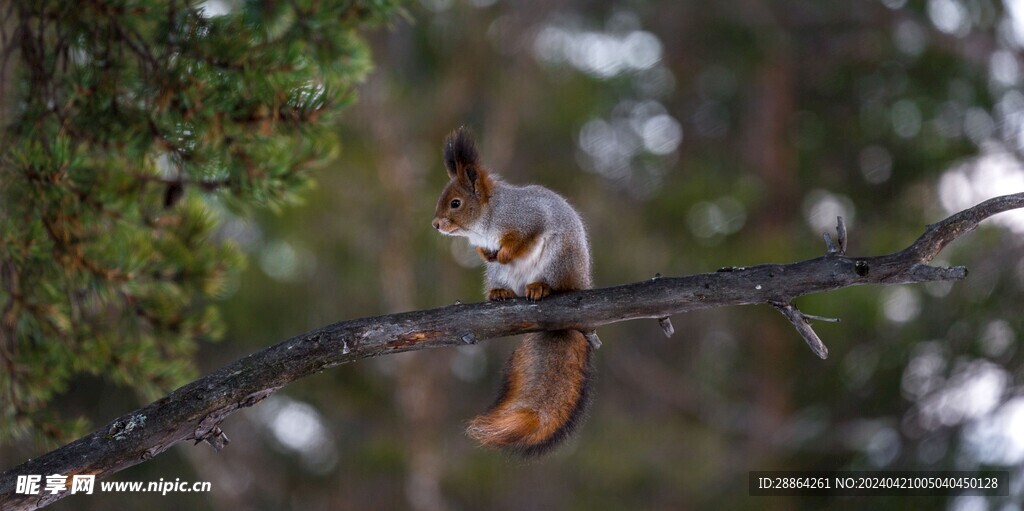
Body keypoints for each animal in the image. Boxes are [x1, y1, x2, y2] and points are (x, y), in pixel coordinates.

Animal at [430, 126, 593, 456]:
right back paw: (500, 294)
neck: (487, 218)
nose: (435, 224)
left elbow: (522, 240)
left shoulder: (527, 219)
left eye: (455, 203)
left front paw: (505, 252)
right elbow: (484, 251)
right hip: (498, 276)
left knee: (554, 282)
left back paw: (540, 287)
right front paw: (486, 253)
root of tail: (580, 279)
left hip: (558, 259)